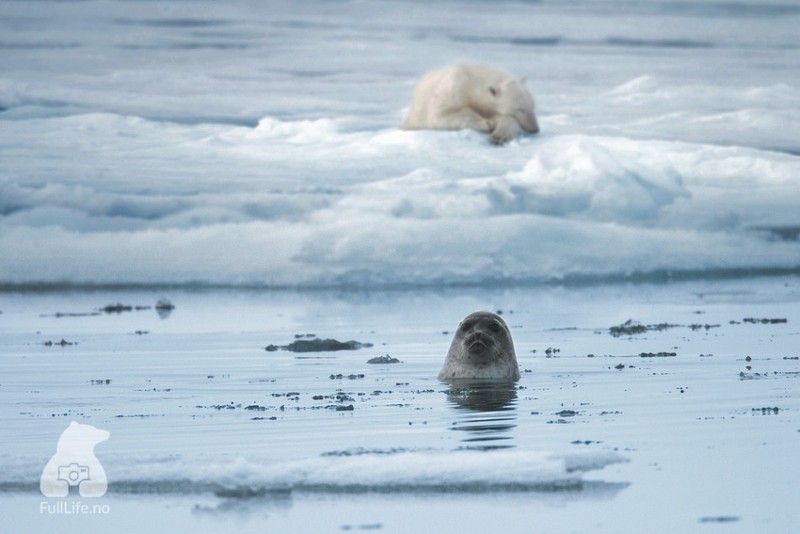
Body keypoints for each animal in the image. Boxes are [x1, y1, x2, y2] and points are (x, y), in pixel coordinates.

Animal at [404, 64, 540, 144]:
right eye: (520, 109)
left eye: (533, 106)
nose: (535, 129)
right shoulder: (453, 90)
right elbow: (442, 116)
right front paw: (487, 124)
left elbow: (507, 120)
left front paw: (497, 136)